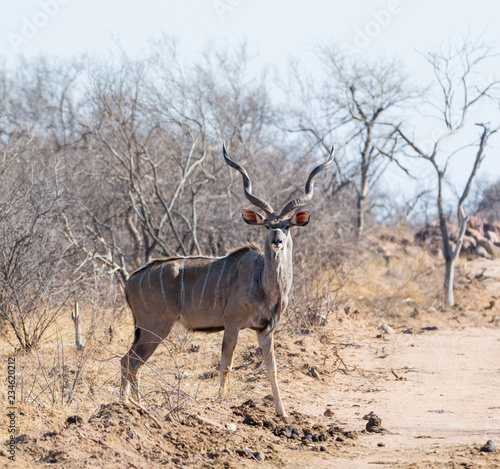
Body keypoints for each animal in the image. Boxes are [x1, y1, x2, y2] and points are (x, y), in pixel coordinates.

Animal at [119, 144, 334, 416]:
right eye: (267, 226)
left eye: (287, 226)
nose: (277, 240)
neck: (264, 283)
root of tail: (130, 280)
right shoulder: (232, 323)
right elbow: (226, 364)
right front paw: (221, 402)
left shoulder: (265, 329)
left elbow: (272, 369)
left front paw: (282, 412)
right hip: (154, 327)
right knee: (132, 362)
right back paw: (137, 406)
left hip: (146, 329)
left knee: (127, 360)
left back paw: (128, 404)